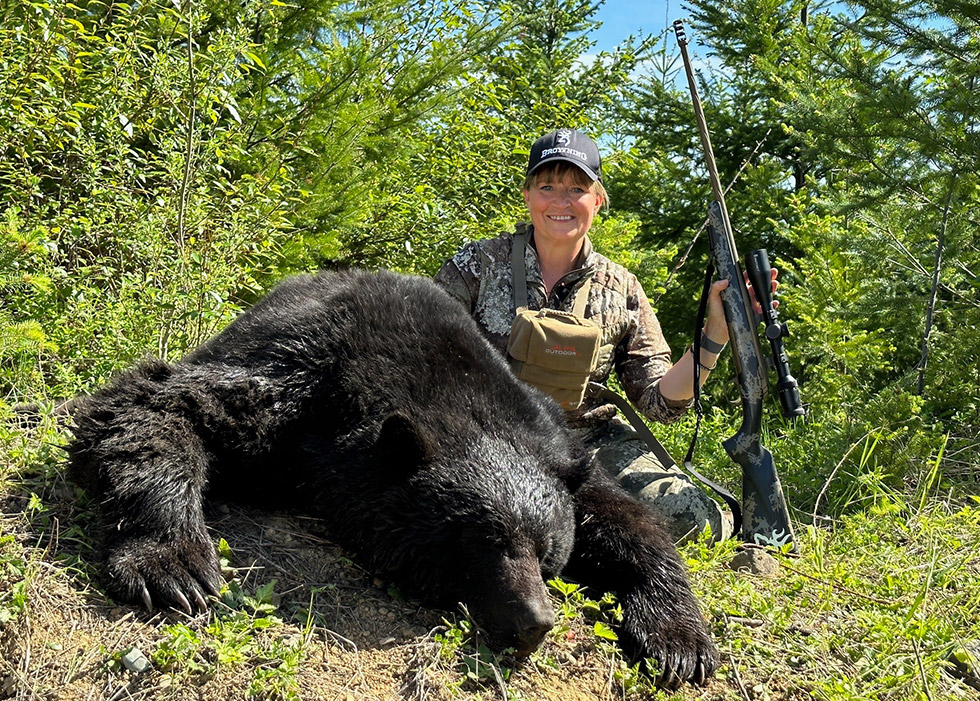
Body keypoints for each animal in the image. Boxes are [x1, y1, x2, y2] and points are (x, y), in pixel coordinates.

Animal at [66, 268, 718, 689]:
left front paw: (679, 641)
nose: (534, 623)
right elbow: (159, 402)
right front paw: (172, 561)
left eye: (548, 555)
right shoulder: (296, 378)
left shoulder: (555, 444)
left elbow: (627, 517)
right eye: (486, 542)